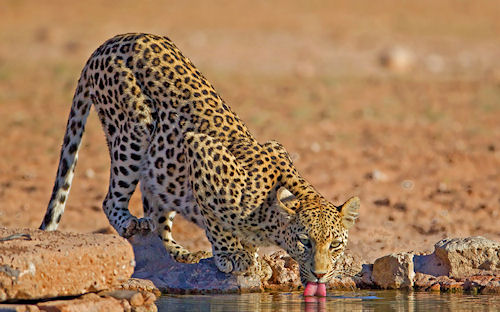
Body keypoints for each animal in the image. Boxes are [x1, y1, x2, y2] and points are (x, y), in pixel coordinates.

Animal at [40, 33, 360, 292]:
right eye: (305, 241)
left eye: (335, 245)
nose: (320, 275)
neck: (269, 221)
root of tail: (113, 40)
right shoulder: (199, 148)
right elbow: (216, 221)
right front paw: (232, 255)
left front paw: (252, 254)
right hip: (133, 131)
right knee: (110, 201)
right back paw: (131, 224)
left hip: (160, 165)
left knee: (157, 213)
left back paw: (180, 253)